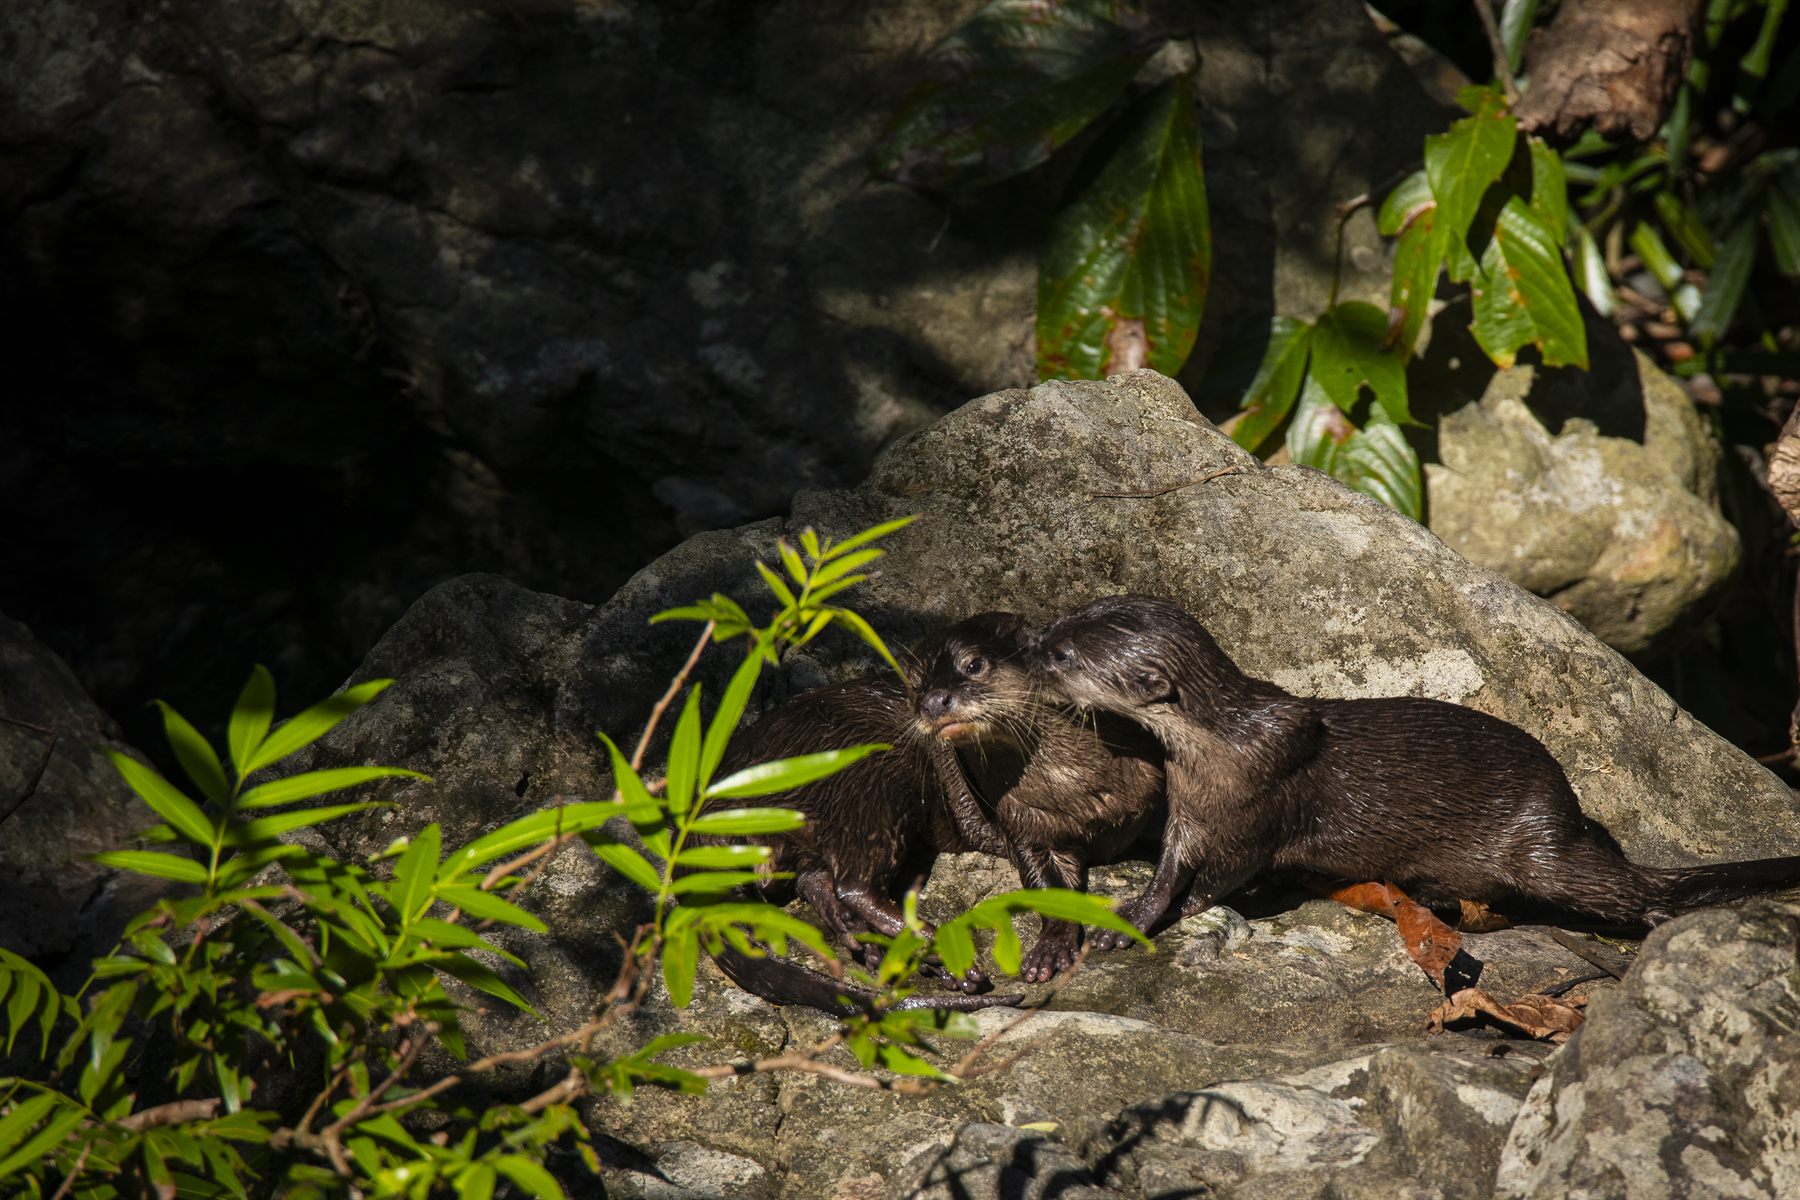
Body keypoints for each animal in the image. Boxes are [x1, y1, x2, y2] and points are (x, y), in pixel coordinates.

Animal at [1031, 593, 1800, 951]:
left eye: (1063, 654)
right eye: (1058, 623)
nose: (1029, 648)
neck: (1218, 752)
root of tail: (1566, 803)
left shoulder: (1259, 813)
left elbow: (1220, 879)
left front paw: (1175, 912)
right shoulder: (1189, 809)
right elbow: (1168, 869)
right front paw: (1126, 918)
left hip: (1539, 844)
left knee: (1619, 885)